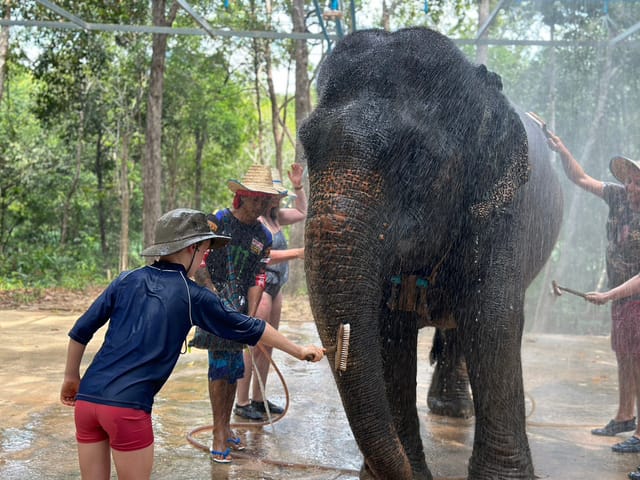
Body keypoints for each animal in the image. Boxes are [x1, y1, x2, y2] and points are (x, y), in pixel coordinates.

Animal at [300, 27, 560, 480]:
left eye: (417, 159)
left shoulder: (506, 210)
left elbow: (493, 316)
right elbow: (387, 327)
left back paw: (454, 412)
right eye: (305, 148)